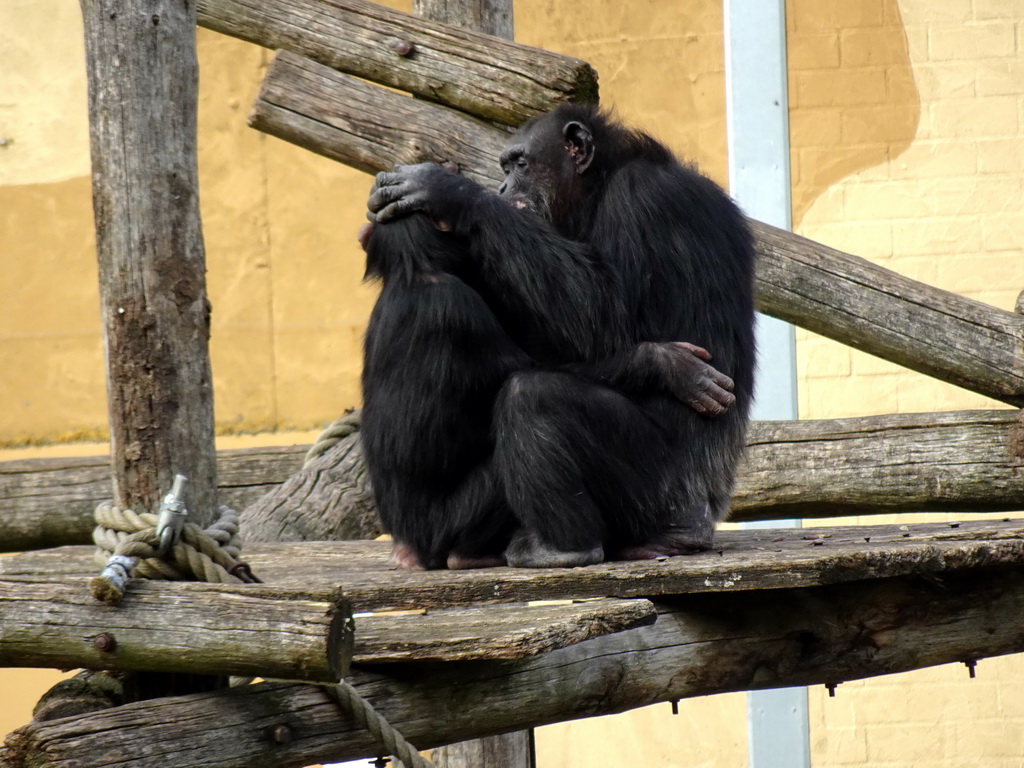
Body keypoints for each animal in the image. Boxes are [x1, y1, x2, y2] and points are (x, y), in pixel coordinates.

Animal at [360, 103, 753, 573]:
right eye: (505, 167)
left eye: (519, 164)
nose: (501, 186)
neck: (599, 186)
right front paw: (664, 364)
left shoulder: (642, 201)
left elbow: (600, 315)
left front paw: (447, 191)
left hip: (661, 490)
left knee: (533, 395)